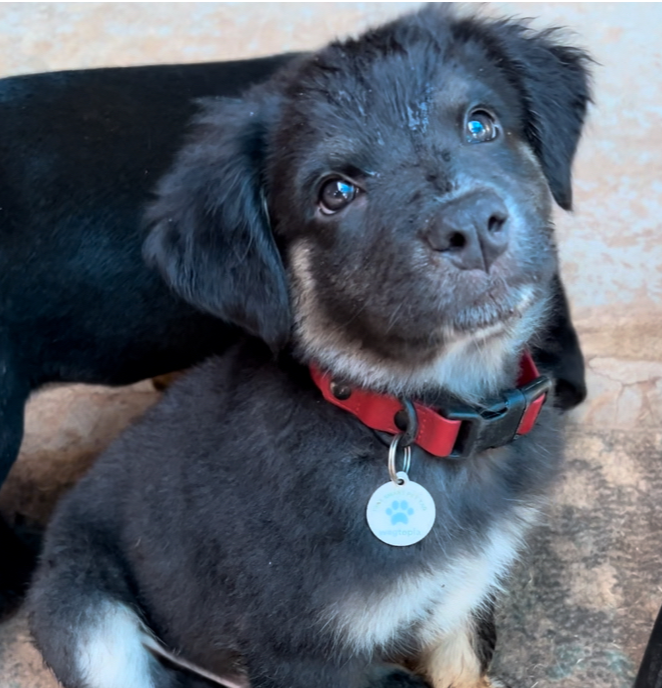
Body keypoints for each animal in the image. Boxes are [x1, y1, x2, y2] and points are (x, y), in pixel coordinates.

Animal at [27, 5, 596, 688]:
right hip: (90, 619)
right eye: (335, 192)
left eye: (480, 124)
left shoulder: (460, 599)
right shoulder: (299, 653)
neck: (406, 423)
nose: (472, 227)